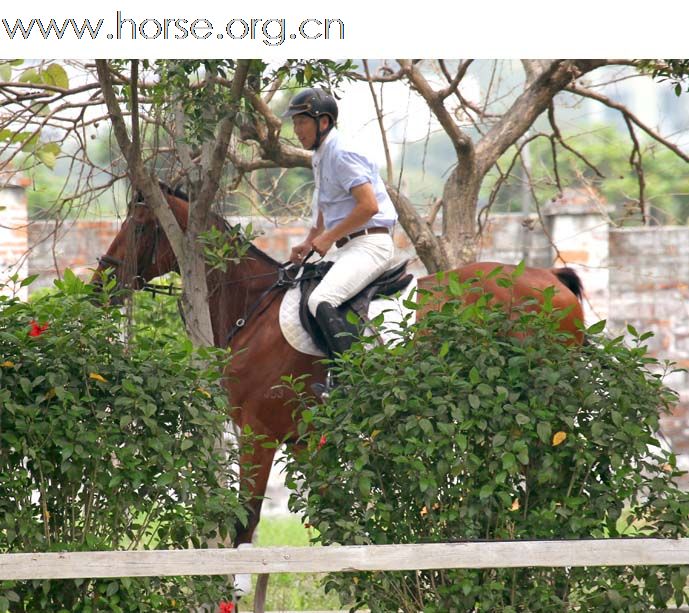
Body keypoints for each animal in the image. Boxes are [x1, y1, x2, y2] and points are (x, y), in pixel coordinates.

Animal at [94, 185, 584, 544]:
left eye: (140, 227)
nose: (102, 283)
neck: (253, 309)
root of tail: (550, 278)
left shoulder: (259, 432)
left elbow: (245, 524)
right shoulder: (304, 441)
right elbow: (334, 517)